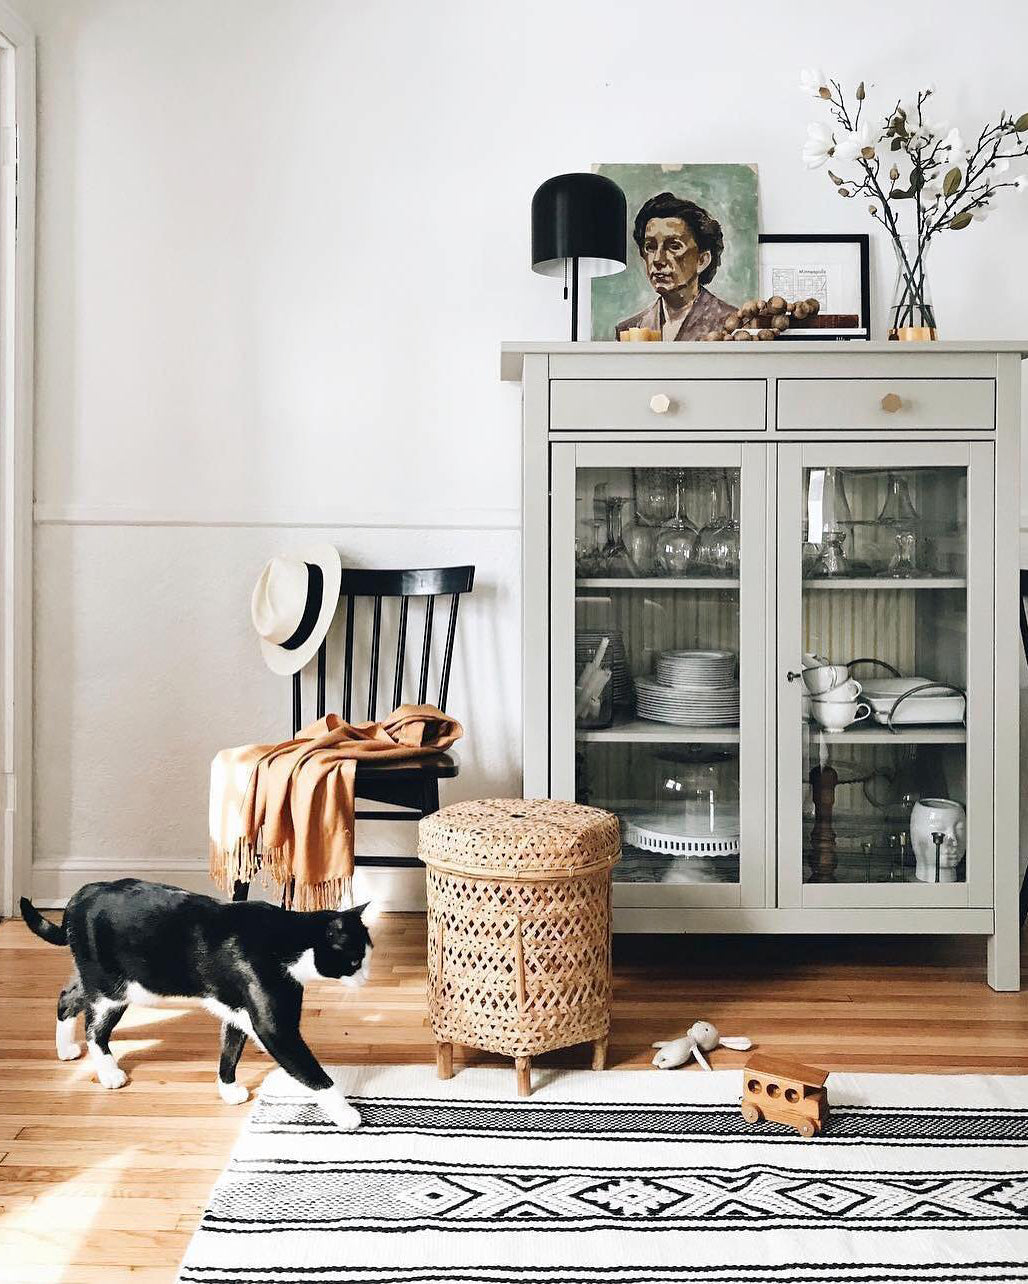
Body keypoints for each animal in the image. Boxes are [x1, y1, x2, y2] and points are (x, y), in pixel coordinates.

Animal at [20, 878, 372, 1129]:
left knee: (67, 998)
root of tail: (80, 897)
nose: (367, 977)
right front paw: (346, 1114)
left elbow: (230, 1050)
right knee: (95, 1030)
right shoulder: (274, 1026)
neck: (286, 942)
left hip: (99, 978)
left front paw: (228, 1089)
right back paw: (109, 1073)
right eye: (356, 960)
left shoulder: (237, 1010)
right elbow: (311, 1071)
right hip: (114, 990)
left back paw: (66, 1049)